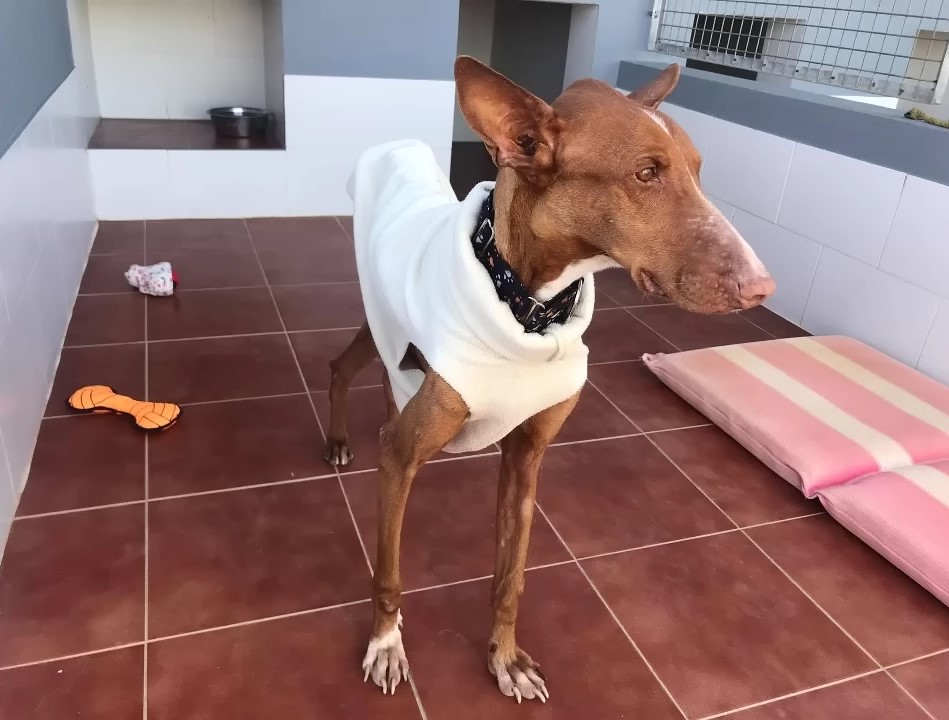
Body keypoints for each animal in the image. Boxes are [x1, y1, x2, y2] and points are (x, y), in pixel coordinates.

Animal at [324, 56, 772, 704]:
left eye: (697, 170)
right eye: (646, 173)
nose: (763, 287)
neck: (529, 310)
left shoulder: (526, 460)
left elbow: (510, 577)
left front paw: (505, 657)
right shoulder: (400, 458)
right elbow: (388, 572)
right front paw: (386, 642)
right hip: (374, 323)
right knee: (340, 368)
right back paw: (336, 439)